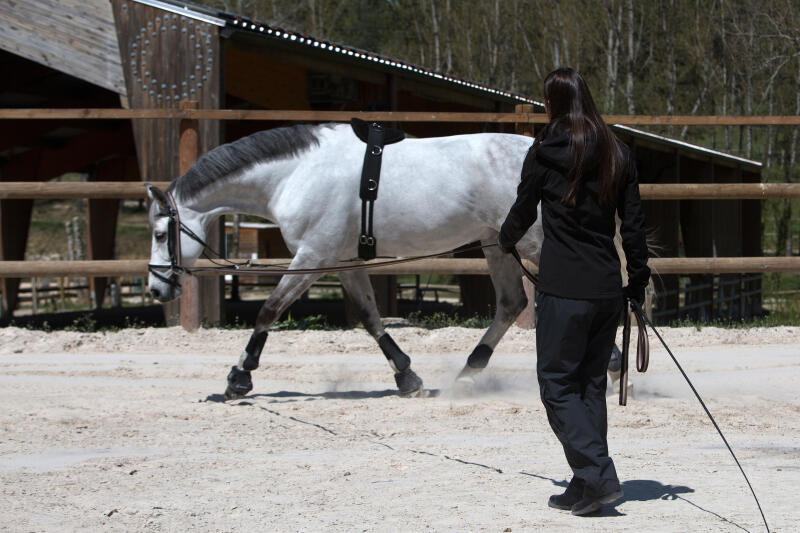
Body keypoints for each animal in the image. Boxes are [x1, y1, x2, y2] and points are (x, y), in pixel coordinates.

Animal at [144, 122, 544, 396]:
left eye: (161, 234)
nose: (155, 289)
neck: (295, 174)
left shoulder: (314, 255)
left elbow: (269, 310)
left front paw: (239, 376)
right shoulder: (344, 260)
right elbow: (369, 316)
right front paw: (406, 376)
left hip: (531, 244)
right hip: (497, 244)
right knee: (512, 303)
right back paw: (469, 371)